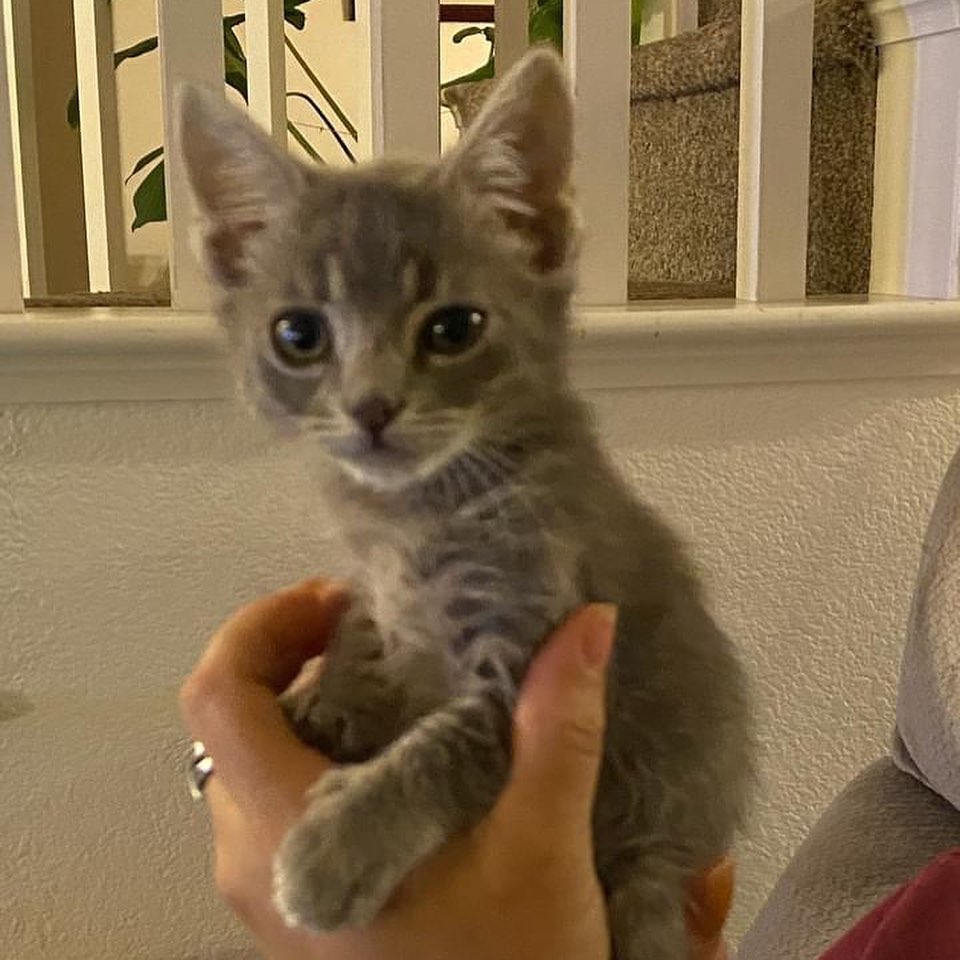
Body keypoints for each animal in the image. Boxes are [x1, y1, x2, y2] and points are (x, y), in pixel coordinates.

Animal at [178, 52, 752, 960]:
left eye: (454, 328)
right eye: (298, 336)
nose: (371, 407)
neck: (417, 517)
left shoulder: (526, 634)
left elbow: (446, 749)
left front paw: (336, 849)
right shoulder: (377, 586)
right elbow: (360, 630)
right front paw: (326, 699)